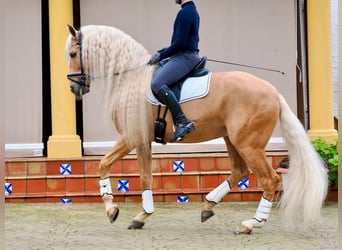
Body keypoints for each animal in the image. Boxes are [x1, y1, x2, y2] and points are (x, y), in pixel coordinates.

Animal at [65, 24, 328, 233]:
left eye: (73, 53)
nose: (74, 89)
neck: (131, 79)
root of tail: (273, 92)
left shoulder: (132, 137)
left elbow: (105, 164)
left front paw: (112, 210)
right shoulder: (142, 140)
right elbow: (145, 176)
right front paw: (141, 216)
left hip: (248, 145)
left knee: (269, 180)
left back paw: (249, 224)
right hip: (232, 140)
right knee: (240, 171)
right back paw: (208, 206)